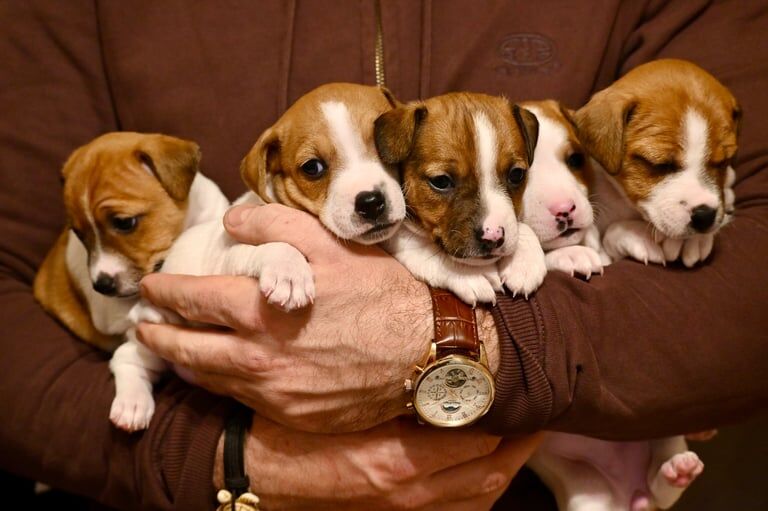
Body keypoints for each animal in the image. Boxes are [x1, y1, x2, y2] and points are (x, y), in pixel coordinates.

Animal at [115, 83, 408, 432]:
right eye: (313, 168)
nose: (371, 202)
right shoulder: (231, 251)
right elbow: (276, 245)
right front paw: (289, 274)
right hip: (147, 341)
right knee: (126, 357)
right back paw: (132, 401)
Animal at [374, 92, 544, 304]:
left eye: (516, 175)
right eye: (441, 181)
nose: (493, 236)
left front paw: (525, 261)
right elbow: (423, 249)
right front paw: (469, 274)